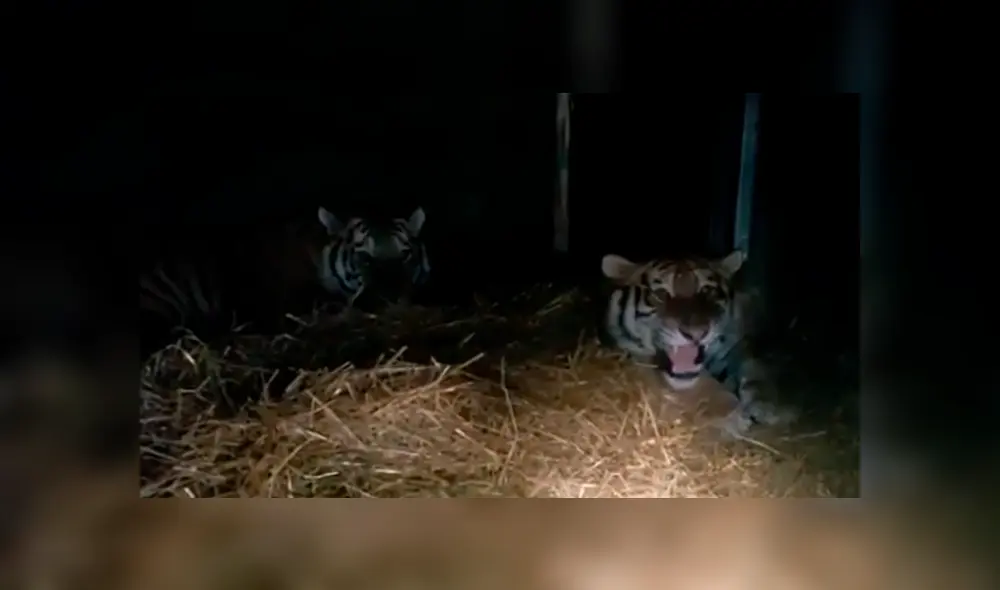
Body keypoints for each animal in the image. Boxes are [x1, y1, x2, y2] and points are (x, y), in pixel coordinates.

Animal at [599, 250, 793, 436]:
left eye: (707, 291)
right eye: (661, 294)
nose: (697, 333)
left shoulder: (735, 346)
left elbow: (756, 367)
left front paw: (769, 406)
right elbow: (702, 383)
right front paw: (732, 415)